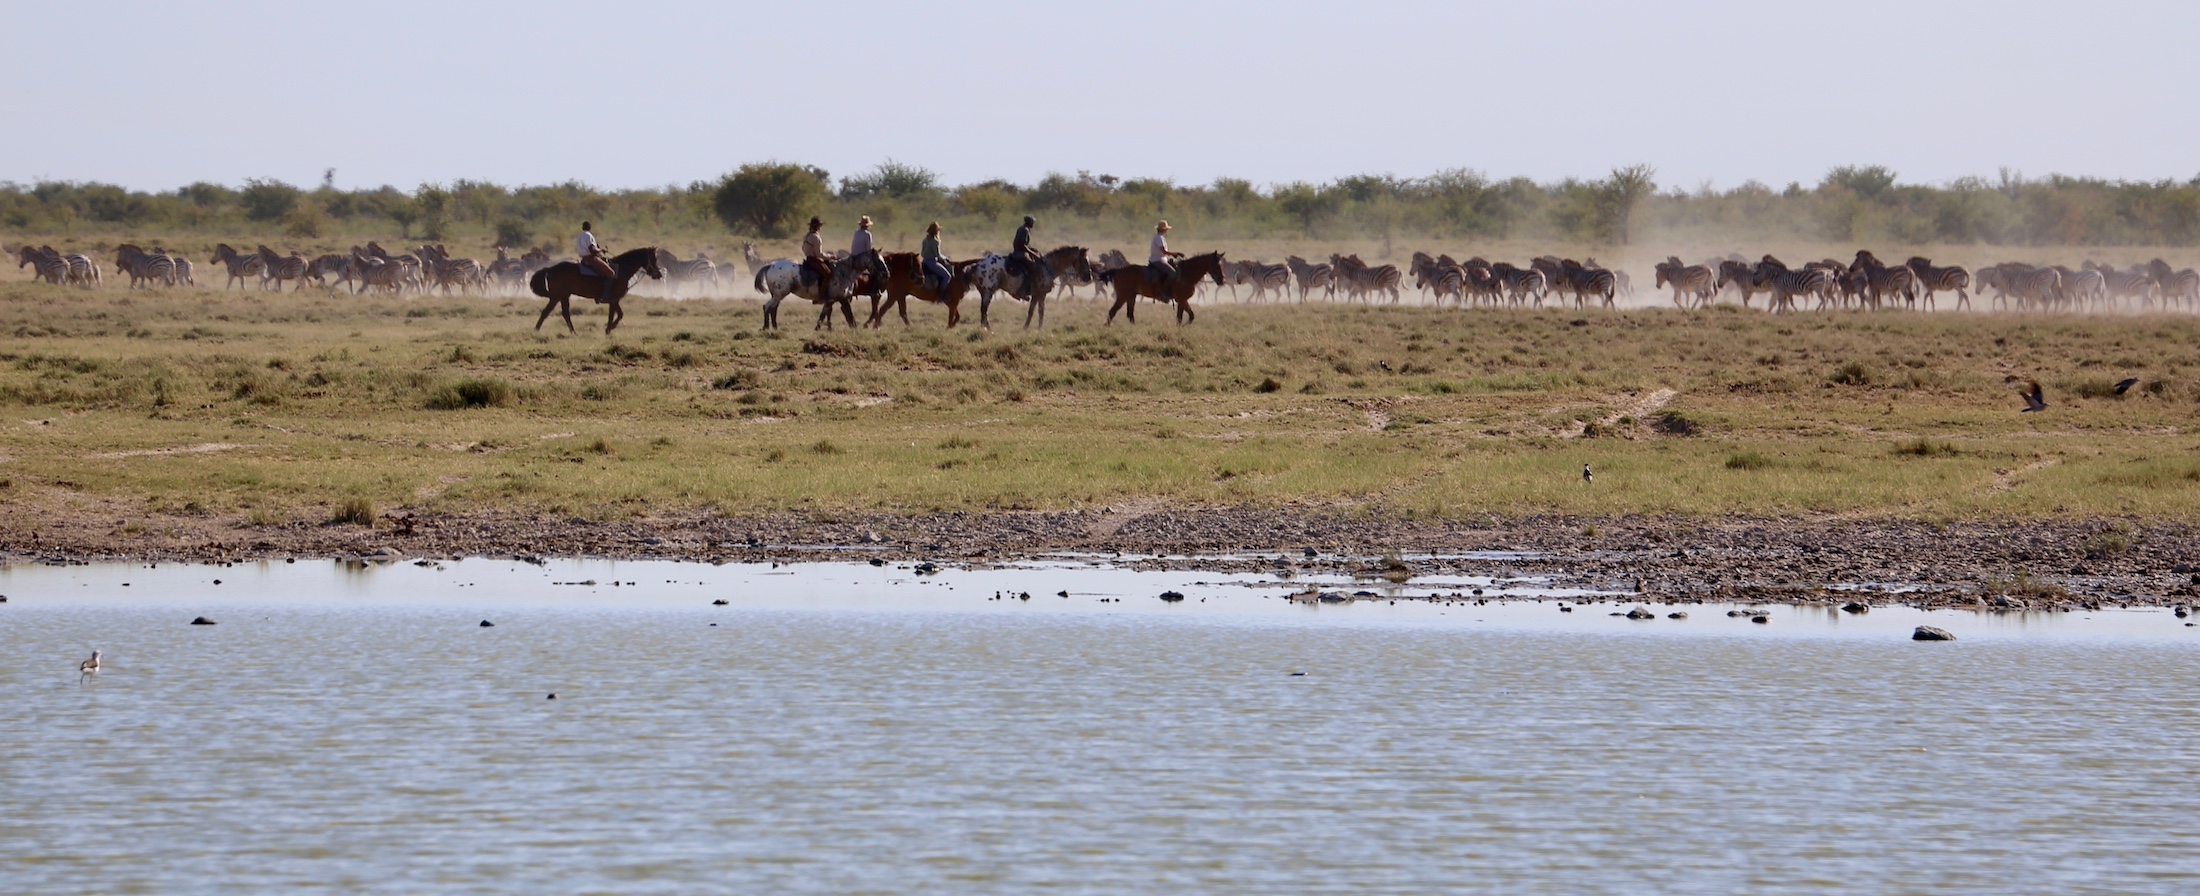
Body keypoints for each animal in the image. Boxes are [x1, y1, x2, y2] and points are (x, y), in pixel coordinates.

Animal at [530, 245, 660, 336]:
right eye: (654, 259)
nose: (658, 274)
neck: (621, 270)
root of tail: (550, 269)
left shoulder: (614, 299)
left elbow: (617, 314)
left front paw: (609, 329)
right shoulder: (614, 298)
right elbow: (616, 315)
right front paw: (609, 329)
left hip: (564, 296)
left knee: (565, 314)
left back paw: (574, 332)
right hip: (556, 296)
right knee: (546, 312)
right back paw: (536, 330)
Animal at [756, 248, 884, 330]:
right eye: (878, 260)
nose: (886, 273)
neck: (843, 272)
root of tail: (771, 265)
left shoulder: (833, 299)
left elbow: (825, 313)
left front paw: (818, 328)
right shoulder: (842, 298)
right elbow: (848, 313)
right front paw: (854, 327)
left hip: (777, 295)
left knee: (773, 308)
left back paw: (774, 327)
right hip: (779, 294)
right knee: (767, 307)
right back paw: (766, 327)